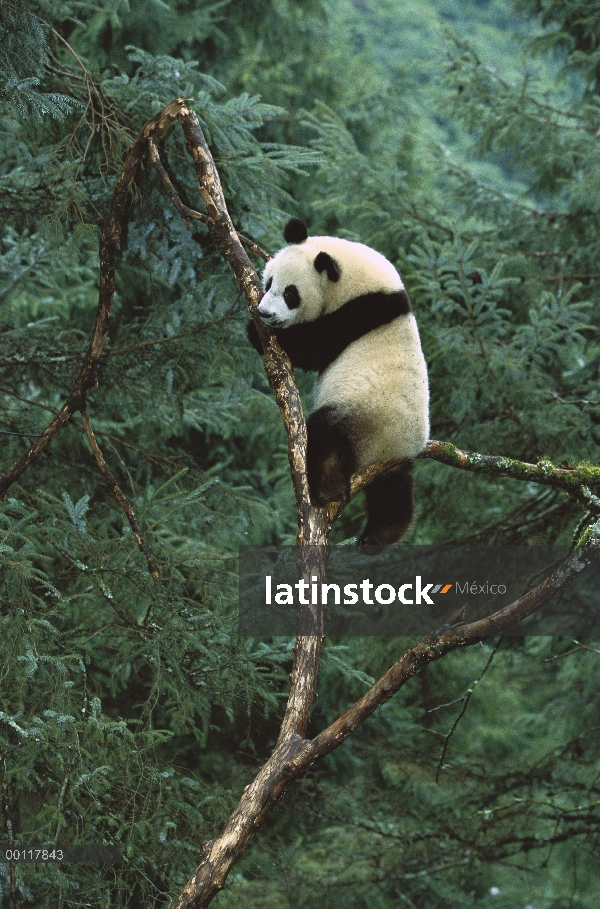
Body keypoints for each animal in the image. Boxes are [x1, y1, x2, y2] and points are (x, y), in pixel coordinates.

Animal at [248, 218, 432, 548]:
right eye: (268, 283)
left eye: (291, 294)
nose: (264, 313)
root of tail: (387, 448)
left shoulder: (357, 314)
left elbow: (312, 347)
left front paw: (256, 332)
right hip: (393, 457)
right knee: (394, 489)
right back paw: (383, 532)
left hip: (361, 410)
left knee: (326, 433)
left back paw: (328, 488)